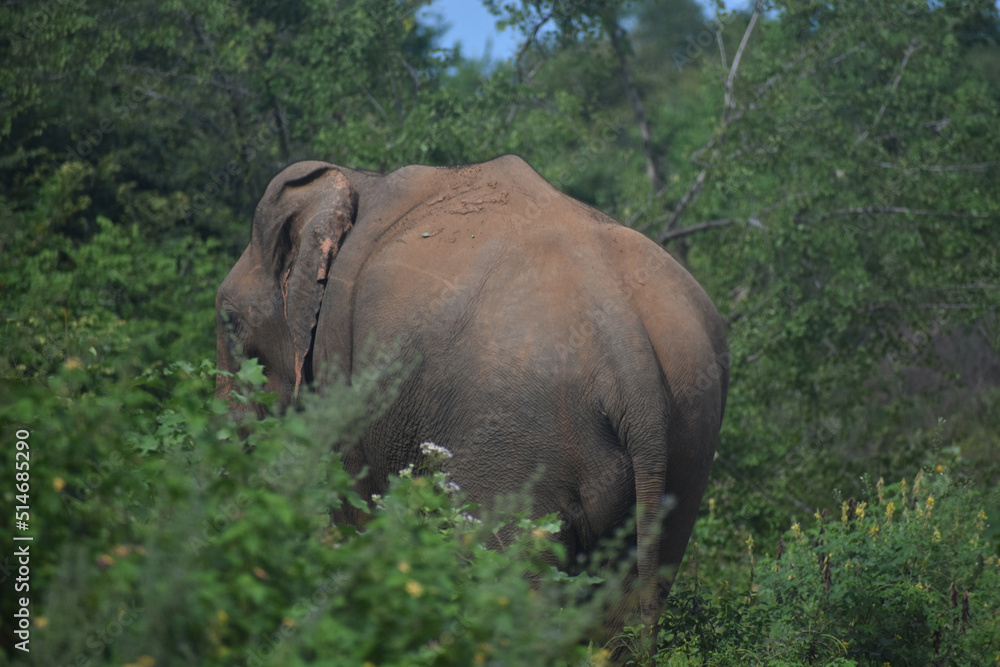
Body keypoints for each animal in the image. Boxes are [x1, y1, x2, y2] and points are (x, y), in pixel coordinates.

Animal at [215, 154, 729, 646]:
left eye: (228, 321)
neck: (358, 182)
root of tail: (629, 346)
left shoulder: (342, 366)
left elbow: (353, 506)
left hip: (513, 442)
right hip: (687, 442)